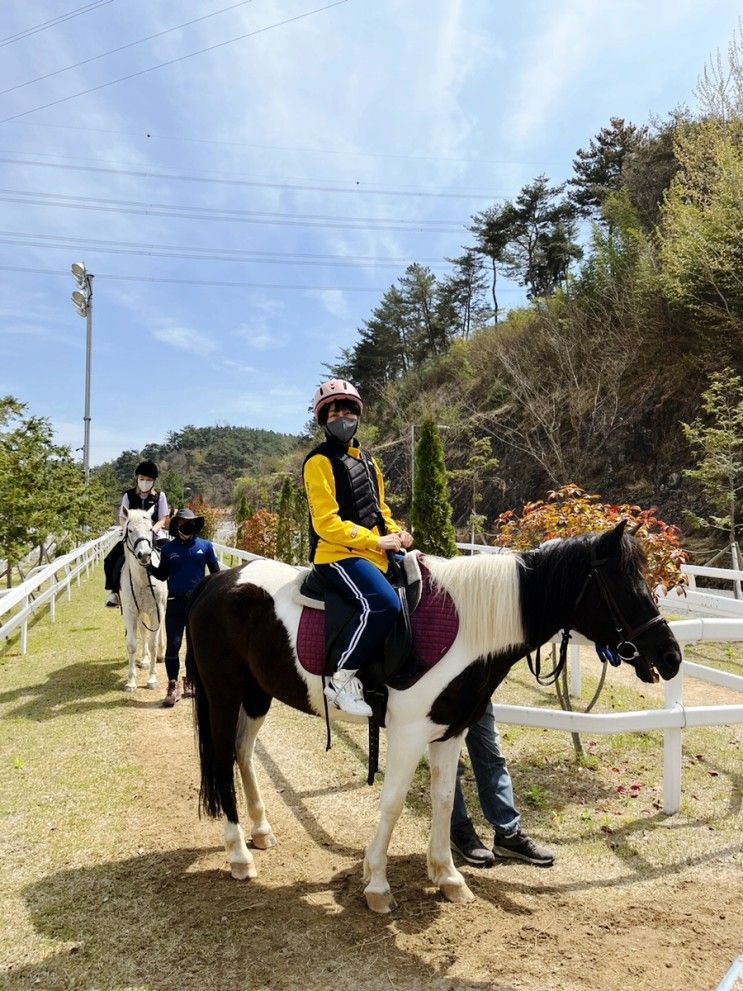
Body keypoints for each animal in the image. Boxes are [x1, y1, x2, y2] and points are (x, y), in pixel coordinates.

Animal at [119, 508, 167, 692]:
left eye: (150, 529)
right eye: (130, 530)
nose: (144, 555)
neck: (142, 579)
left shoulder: (156, 610)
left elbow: (153, 642)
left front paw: (152, 679)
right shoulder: (131, 612)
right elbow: (132, 645)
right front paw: (131, 682)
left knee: (161, 631)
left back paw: (161, 654)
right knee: (143, 631)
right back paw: (145, 660)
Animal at [185, 520, 680, 916]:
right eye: (625, 586)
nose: (671, 656)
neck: (468, 630)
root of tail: (216, 583)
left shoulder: (451, 730)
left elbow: (443, 799)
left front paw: (447, 876)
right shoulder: (409, 733)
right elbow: (393, 803)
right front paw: (377, 885)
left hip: (256, 695)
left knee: (242, 752)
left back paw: (261, 831)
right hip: (223, 694)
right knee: (222, 762)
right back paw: (239, 856)